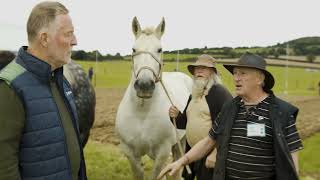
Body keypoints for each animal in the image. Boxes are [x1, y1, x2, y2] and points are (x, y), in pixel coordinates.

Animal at [115, 17, 192, 180]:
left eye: (159, 49)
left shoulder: (162, 153)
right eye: (133, 49)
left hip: (180, 141)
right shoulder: (130, 153)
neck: (142, 112)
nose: (144, 85)